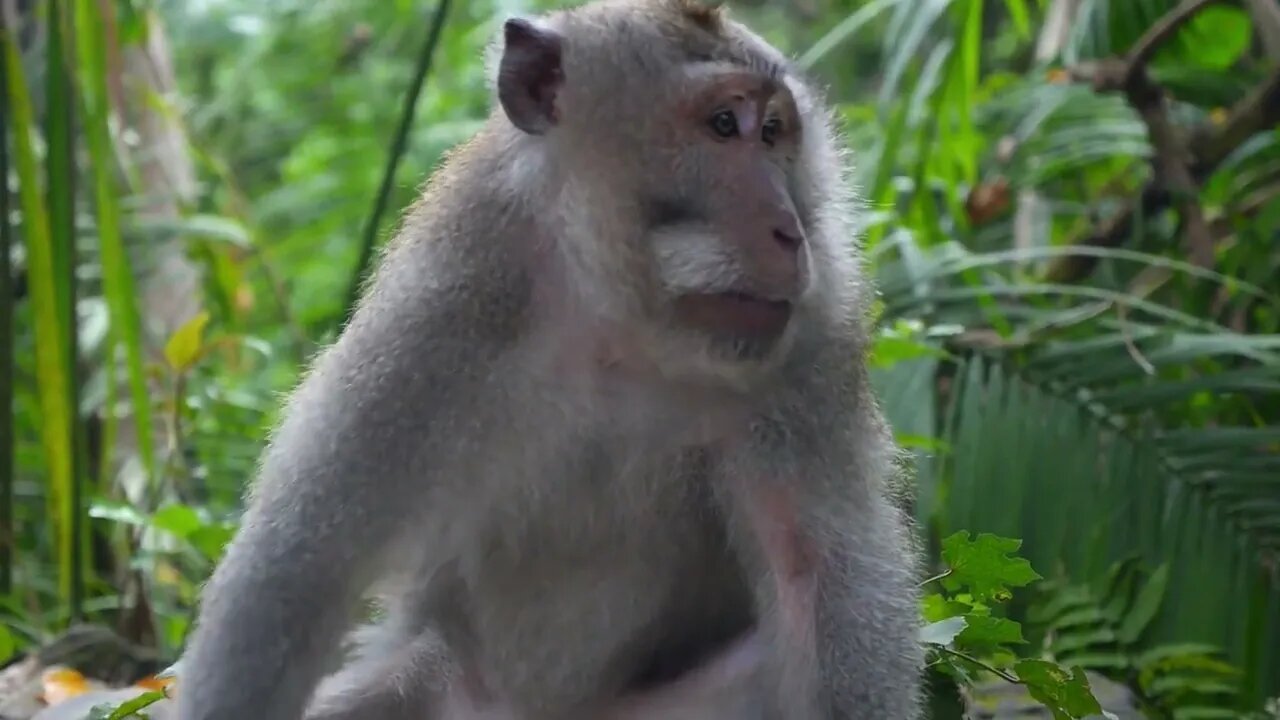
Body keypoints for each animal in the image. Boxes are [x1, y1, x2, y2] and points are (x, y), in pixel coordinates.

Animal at [177, 0, 921, 712]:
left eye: (772, 132)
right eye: (721, 124)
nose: (789, 232)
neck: (616, 322)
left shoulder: (816, 335)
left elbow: (818, 582)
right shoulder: (447, 296)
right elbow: (301, 563)